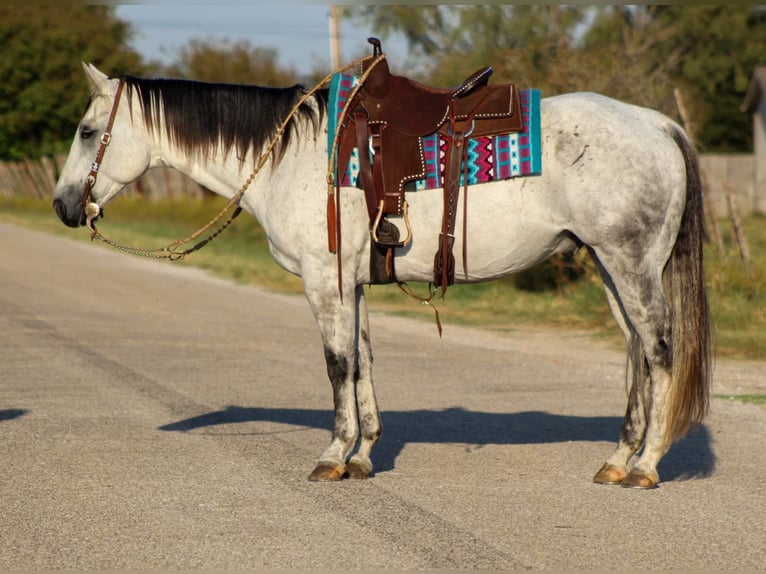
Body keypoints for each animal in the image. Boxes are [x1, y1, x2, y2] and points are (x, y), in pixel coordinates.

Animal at [52, 63, 712, 489]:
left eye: (87, 131)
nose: (63, 206)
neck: (291, 157)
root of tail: (657, 125)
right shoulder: (354, 284)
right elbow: (364, 362)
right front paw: (364, 455)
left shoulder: (324, 282)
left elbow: (337, 365)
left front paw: (332, 455)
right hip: (608, 265)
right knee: (636, 353)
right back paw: (618, 460)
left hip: (631, 264)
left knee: (660, 351)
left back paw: (646, 467)